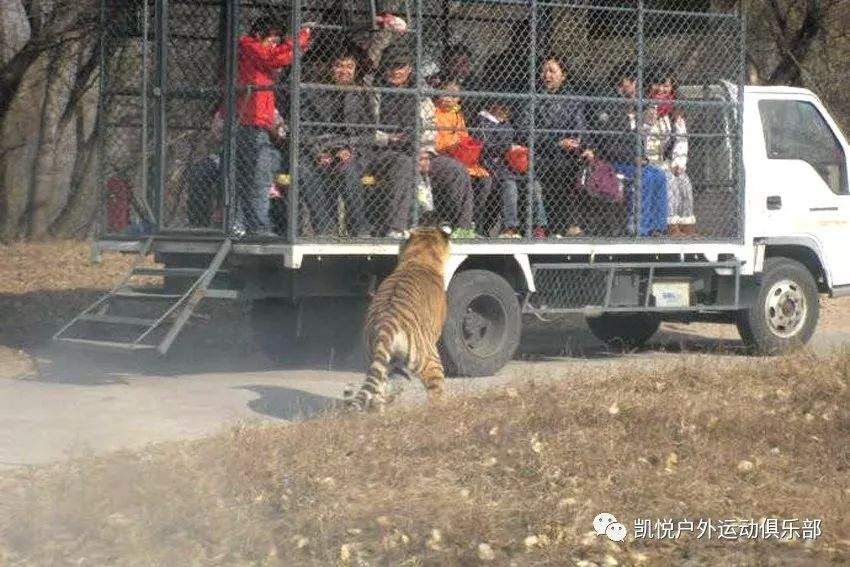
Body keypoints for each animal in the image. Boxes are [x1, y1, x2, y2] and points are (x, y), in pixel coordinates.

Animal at [342, 226, 454, 412]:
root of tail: (386, 323)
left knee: (377, 395)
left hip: (378, 361)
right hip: (430, 359)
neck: (420, 255)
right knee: (436, 393)